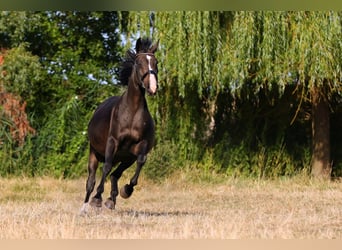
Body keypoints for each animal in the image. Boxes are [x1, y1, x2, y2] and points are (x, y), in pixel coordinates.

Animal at [80, 37, 159, 213]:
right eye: (138, 62)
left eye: (155, 62)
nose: (152, 87)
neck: (132, 111)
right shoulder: (113, 142)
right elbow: (106, 167)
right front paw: (97, 199)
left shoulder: (140, 146)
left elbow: (140, 162)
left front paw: (126, 190)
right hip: (94, 153)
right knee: (91, 181)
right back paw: (85, 207)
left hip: (126, 158)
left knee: (115, 175)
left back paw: (111, 200)